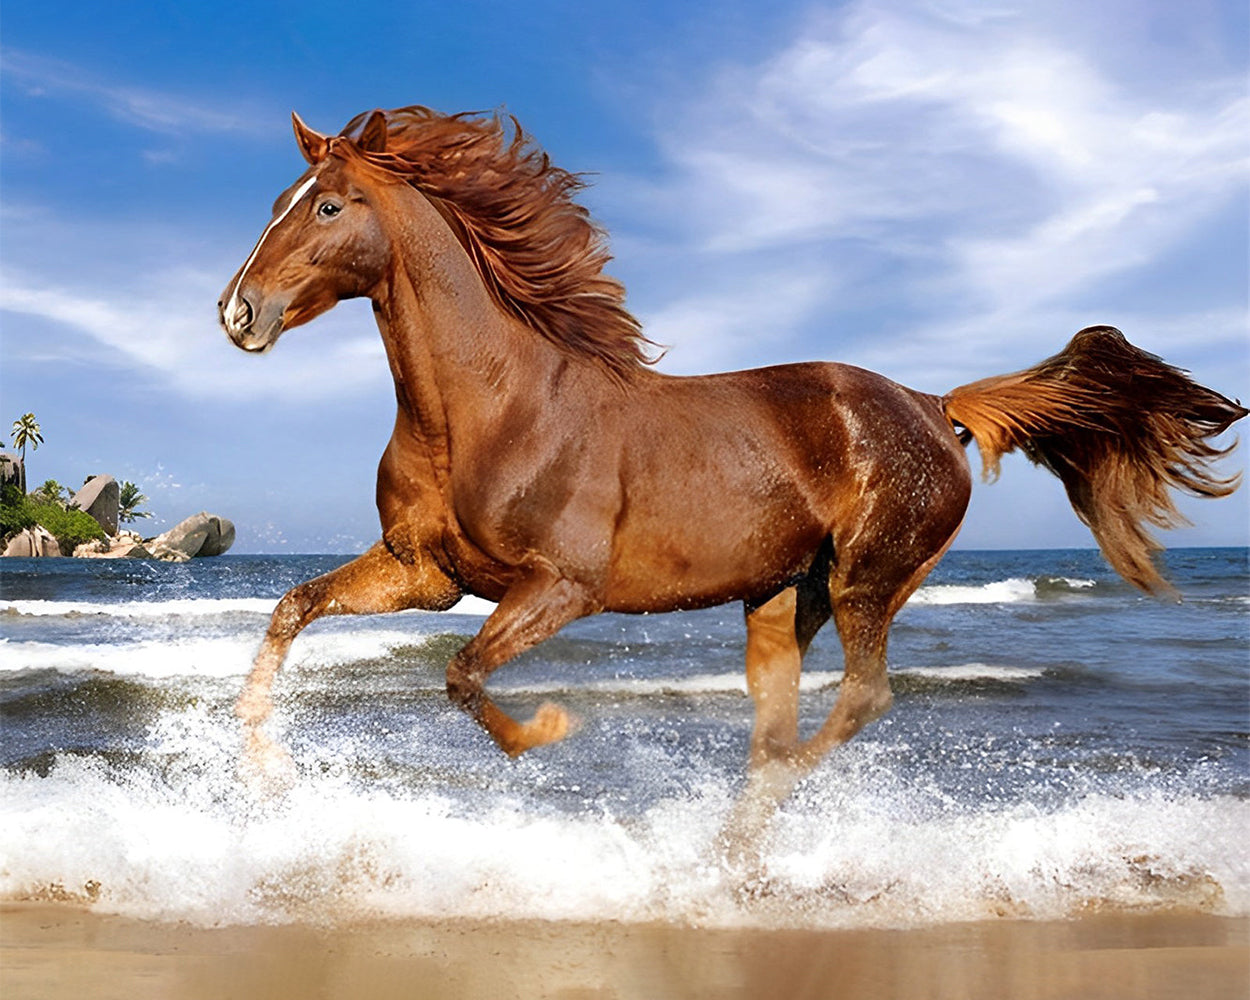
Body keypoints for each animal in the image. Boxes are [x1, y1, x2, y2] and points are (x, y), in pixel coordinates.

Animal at [218, 106, 1246, 817]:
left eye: (328, 205)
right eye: (273, 204)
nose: (238, 312)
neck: (489, 408)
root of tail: (931, 404)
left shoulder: (563, 587)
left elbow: (464, 674)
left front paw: (546, 733)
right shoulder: (424, 575)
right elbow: (291, 611)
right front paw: (262, 767)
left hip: (869, 580)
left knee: (859, 701)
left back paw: (744, 826)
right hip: (786, 596)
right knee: (780, 719)